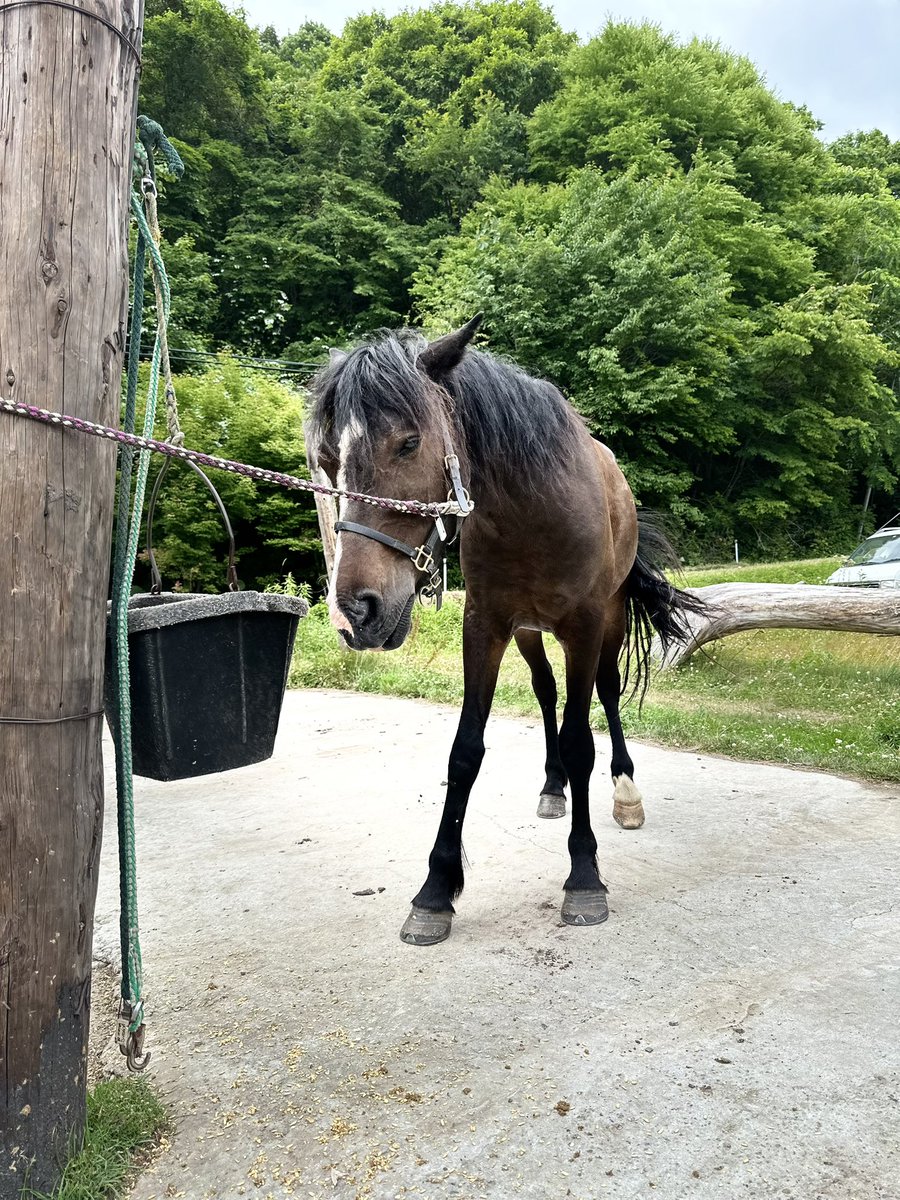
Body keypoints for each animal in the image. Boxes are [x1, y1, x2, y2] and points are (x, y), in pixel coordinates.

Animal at [308, 316, 704, 945]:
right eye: (327, 459)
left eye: (409, 442)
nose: (356, 614)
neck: (531, 510)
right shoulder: (486, 627)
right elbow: (465, 753)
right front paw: (436, 891)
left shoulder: (585, 625)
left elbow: (581, 740)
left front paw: (584, 877)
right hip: (528, 632)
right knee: (546, 691)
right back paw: (552, 788)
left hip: (610, 622)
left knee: (607, 695)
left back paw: (625, 791)